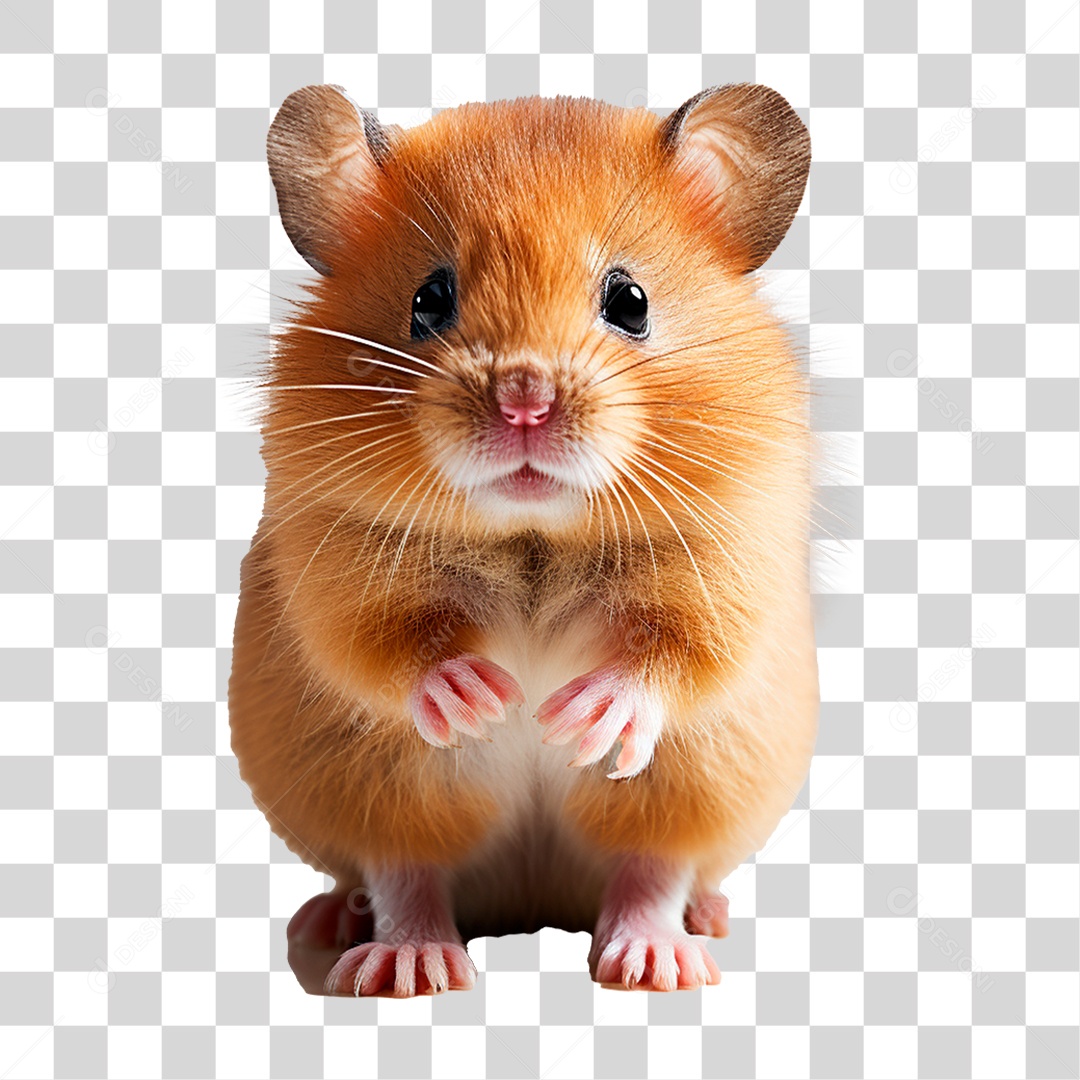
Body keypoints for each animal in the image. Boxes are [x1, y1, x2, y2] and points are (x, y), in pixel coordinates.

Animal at [229, 82, 817, 996]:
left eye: (630, 301)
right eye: (428, 300)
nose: (525, 400)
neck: (534, 534)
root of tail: (530, 899)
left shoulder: (728, 559)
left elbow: (675, 654)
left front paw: (578, 719)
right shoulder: (330, 559)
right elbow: (388, 644)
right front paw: (482, 699)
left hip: (686, 789)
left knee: (652, 868)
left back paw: (663, 954)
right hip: (381, 789)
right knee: (402, 872)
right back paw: (391, 956)